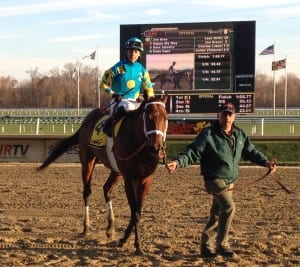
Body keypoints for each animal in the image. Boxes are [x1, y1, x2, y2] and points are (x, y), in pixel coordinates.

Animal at [36, 94, 168, 255]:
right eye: (148, 117)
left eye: (165, 117)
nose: (156, 148)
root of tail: (88, 118)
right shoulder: (129, 179)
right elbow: (135, 213)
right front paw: (137, 245)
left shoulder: (146, 179)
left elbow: (137, 211)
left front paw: (123, 239)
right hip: (88, 160)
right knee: (87, 191)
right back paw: (86, 226)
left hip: (116, 171)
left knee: (106, 189)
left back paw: (110, 227)